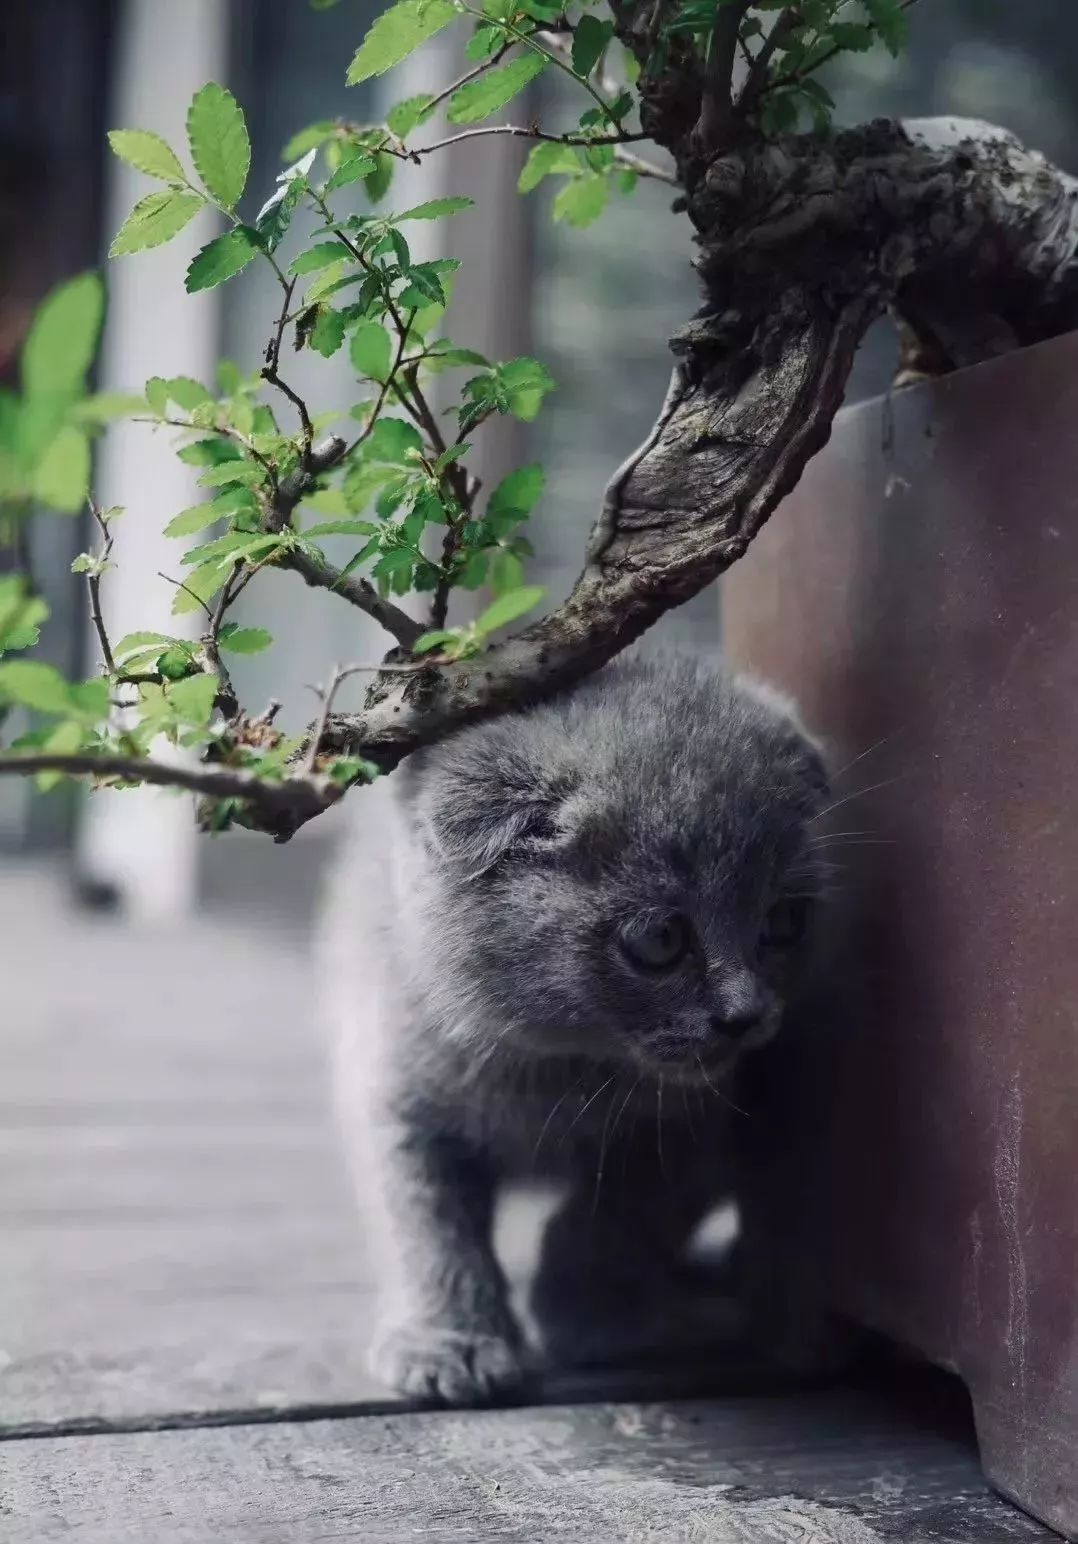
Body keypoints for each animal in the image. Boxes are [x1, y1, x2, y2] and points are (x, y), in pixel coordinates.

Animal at [316, 645, 821, 1408]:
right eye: (659, 939)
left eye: (783, 922)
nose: (746, 1014)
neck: (554, 1068)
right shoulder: (394, 1090)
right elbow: (425, 1227)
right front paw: (448, 1344)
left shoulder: (707, 1125)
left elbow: (619, 1214)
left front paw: (584, 1313)